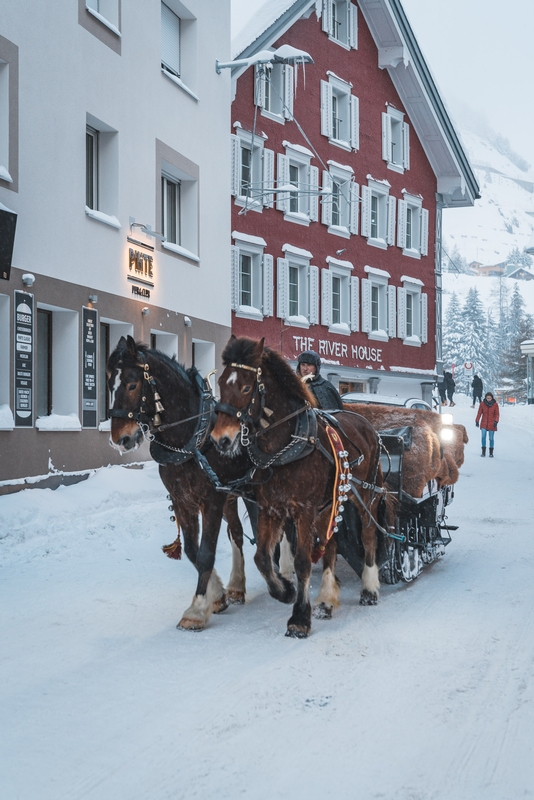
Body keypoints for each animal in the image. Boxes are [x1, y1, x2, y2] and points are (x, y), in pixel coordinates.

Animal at [108, 334, 255, 628]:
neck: (191, 440)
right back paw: (236, 585)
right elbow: (191, 551)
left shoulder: (211, 501)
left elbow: (206, 553)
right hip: (231, 497)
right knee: (237, 533)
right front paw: (217, 595)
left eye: (131, 384)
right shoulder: (183, 501)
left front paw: (196, 610)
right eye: (109, 383)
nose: (120, 439)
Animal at [210, 336, 390, 636]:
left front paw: (299, 618)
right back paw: (326, 599)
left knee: (368, 536)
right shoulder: (271, 508)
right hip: (330, 503)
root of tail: (368, 425)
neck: (286, 445)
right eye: (221, 382)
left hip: (365, 495)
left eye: (246, 387)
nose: (220, 440)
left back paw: (369, 588)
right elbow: (262, 557)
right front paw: (285, 590)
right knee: (330, 543)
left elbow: (303, 562)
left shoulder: (304, 510)